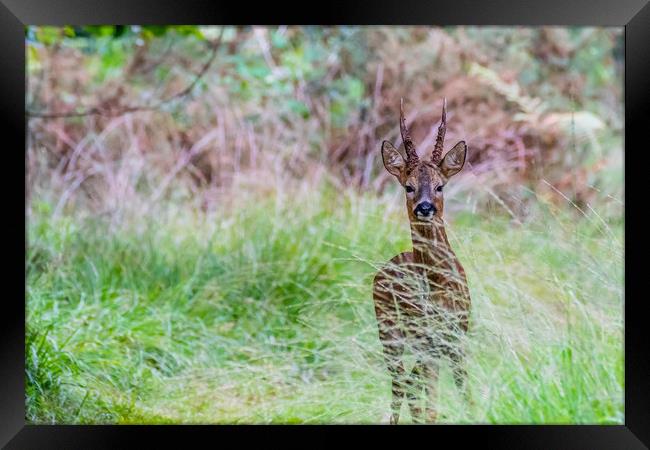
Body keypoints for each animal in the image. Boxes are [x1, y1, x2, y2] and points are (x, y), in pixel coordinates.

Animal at [370, 96, 470, 424]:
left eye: (441, 185)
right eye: (408, 185)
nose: (425, 207)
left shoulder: (458, 336)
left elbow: (466, 395)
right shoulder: (428, 340)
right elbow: (430, 406)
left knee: (409, 385)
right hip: (389, 331)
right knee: (400, 384)